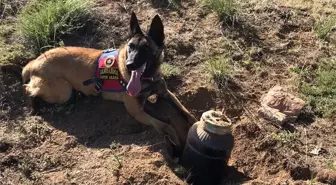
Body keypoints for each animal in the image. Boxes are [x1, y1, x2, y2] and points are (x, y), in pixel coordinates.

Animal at [10, 12, 197, 147]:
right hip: (63, 91)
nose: (129, 65)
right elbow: (164, 124)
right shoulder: (136, 111)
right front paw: (175, 137)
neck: (147, 78)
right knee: (28, 89)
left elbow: (185, 111)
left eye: (145, 48)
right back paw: (34, 106)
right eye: (130, 47)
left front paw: (194, 122)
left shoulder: (166, 94)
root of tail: (34, 62)